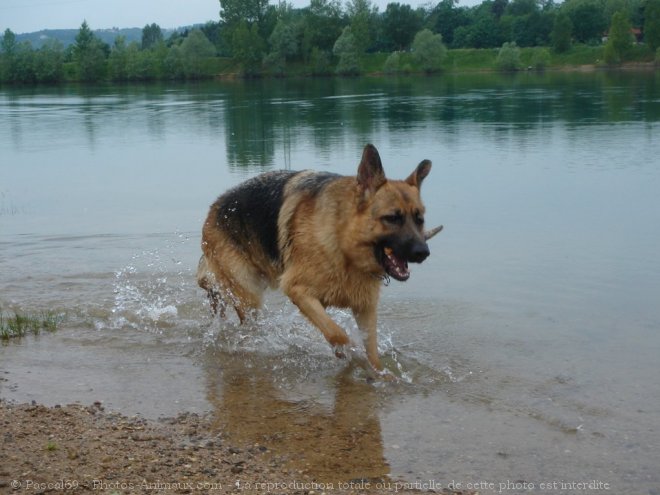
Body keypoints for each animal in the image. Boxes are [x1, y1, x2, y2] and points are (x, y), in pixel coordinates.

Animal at [197, 143, 444, 376]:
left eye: (419, 219)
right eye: (392, 218)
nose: (423, 252)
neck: (343, 244)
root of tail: (212, 210)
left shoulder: (365, 308)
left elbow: (372, 352)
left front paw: (381, 375)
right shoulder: (298, 291)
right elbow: (338, 334)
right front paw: (350, 356)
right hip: (249, 298)